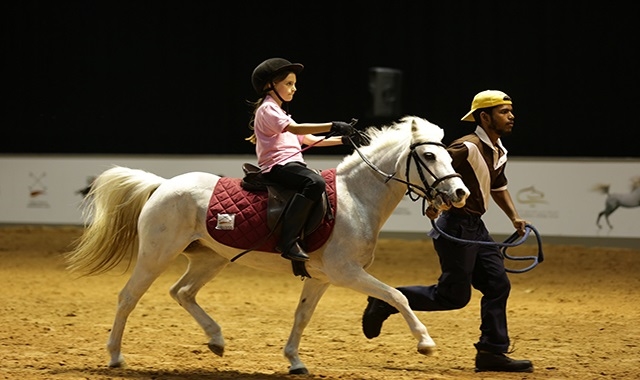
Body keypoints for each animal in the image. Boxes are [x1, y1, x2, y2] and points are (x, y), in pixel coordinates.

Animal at [65, 115, 468, 374]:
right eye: (429, 156)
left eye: (449, 155)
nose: (460, 193)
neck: (355, 197)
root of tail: (163, 184)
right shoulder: (346, 272)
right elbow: (396, 295)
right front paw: (425, 343)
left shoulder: (321, 277)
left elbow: (302, 316)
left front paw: (295, 360)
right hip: (155, 254)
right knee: (128, 297)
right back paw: (115, 357)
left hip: (209, 258)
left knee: (182, 292)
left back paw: (216, 339)